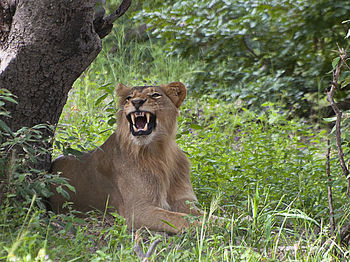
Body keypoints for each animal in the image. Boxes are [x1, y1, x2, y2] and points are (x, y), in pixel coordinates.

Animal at [49, 81, 202, 233]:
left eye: (155, 95)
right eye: (129, 98)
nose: (137, 102)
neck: (160, 152)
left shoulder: (183, 200)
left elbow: (202, 213)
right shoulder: (137, 211)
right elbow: (181, 219)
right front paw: (204, 226)